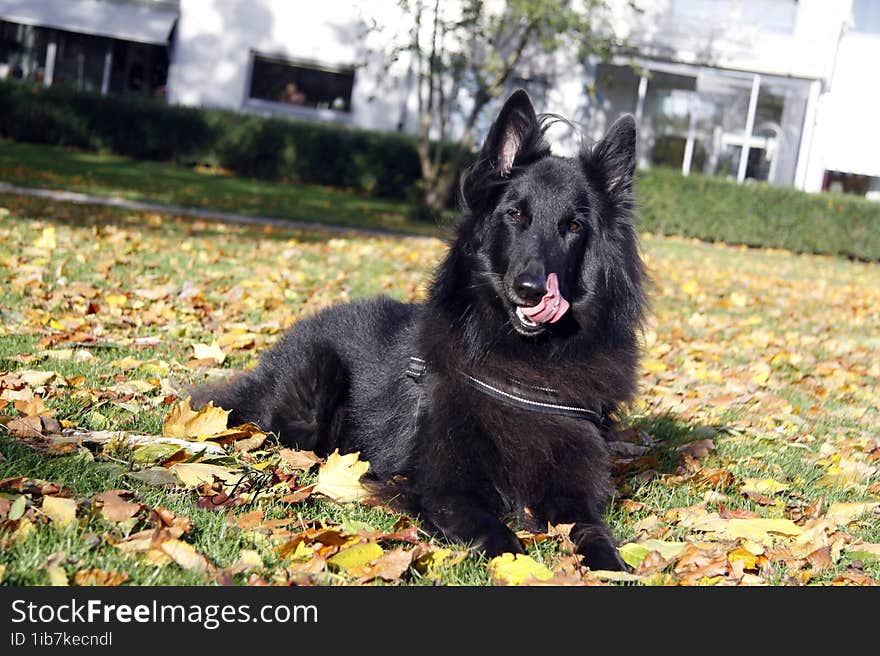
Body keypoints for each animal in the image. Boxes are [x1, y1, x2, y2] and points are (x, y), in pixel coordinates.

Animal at [194, 89, 648, 572]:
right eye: (515, 215)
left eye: (573, 226)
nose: (530, 290)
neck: (525, 366)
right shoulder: (443, 487)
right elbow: (497, 535)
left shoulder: (572, 490)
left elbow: (592, 531)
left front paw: (612, 567)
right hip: (310, 395)